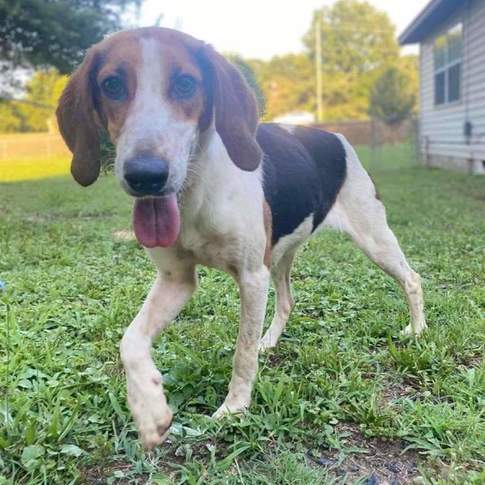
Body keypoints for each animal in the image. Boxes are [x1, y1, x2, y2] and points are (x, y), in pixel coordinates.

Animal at [57, 27, 428, 450]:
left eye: (186, 83)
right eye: (112, 85)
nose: (145, 176)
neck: (196, 191)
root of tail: (334, 135)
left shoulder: (251, 276)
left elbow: (242, 352)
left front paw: (234, 408)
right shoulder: (177, 280)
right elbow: (130, 340)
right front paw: (150, 408)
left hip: (374, 239)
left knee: (412, 279)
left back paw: (417, 330)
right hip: (280, 255)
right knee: (287, 301)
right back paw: (271, 340)